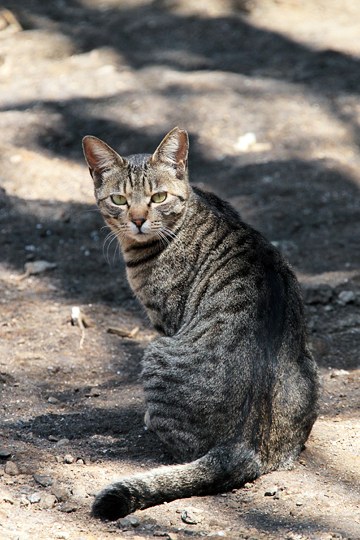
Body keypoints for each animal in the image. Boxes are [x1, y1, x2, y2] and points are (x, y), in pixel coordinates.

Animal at [81, 125, 318, 520]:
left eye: (158, 197)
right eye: (119, 199)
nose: (138, 219)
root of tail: (243, 447)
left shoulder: (165, 320)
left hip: (157, 351)